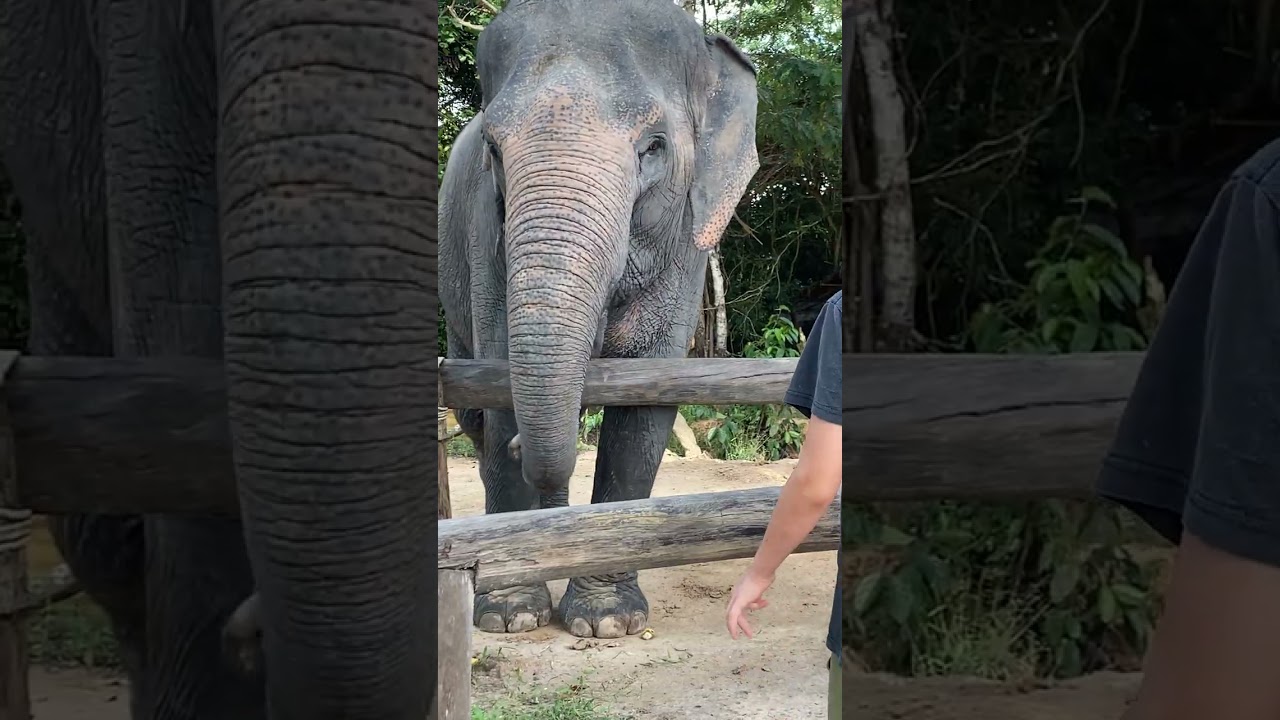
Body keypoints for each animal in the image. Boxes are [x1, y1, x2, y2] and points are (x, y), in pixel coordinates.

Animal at [439, 0, 760, 639]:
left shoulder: (687, 244)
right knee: (471, 413)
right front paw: (512, 617)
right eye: (492, 149)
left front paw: (609, 621)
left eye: (653, 148)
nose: (523, 449)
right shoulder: (485, 233)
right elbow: (498, 386)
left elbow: (646, 404)